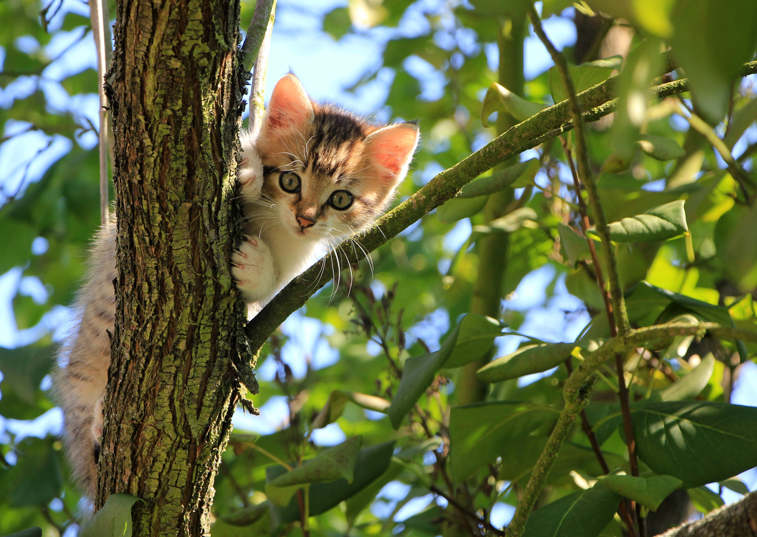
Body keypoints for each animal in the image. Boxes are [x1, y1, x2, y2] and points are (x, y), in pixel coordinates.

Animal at [53, 74, 420, 498]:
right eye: (290, 180)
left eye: (341, 199)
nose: (306, 218)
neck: (274, 224)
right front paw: (247, 169)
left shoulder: (295, 264)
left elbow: (269, 287)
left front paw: (255, 266)